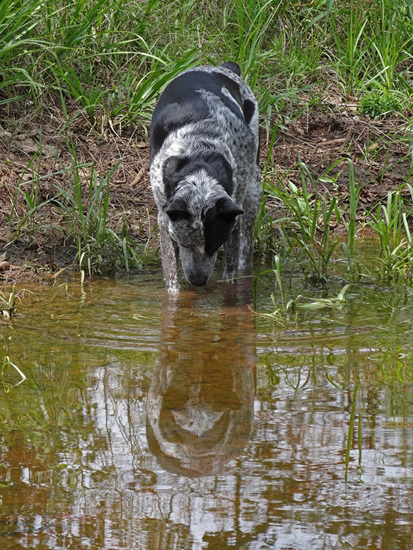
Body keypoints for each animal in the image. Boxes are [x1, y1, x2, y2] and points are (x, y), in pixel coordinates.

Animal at [150, 61, 260, 294]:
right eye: (185, 244)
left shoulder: (233, 214)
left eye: (215, 245)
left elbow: (231, 269)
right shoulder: (164, 218)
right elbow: (171, 272)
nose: (198, 281)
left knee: (246, 247)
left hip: (254, 189)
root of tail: (222, 67)